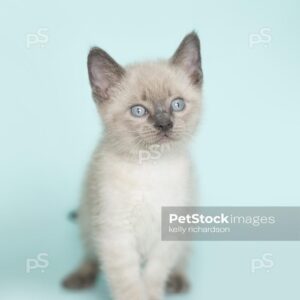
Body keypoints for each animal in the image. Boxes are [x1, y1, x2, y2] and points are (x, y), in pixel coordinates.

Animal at [63, 31, 204, 300]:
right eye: (138, 111)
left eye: (177, 105)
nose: (164, 124)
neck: (151, 168)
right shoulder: (116, 234)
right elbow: (128, 283)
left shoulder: (168, 233)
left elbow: (154, 276)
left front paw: (155, 293)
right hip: (88, 218)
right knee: (89, 253)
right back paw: (79, 277)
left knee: (182, 258)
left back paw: (178, 281)